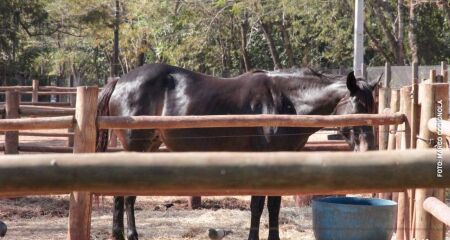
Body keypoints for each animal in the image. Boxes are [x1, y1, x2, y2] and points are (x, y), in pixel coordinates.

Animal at [96, 63, 380, 240]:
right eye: (358, 105)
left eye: (373, 106)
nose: (370, 148)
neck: (284, 103)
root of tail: (120, 80)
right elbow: (258, 206)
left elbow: (273, 206)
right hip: (138, 147)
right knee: (126, 196)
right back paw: (130, 235)